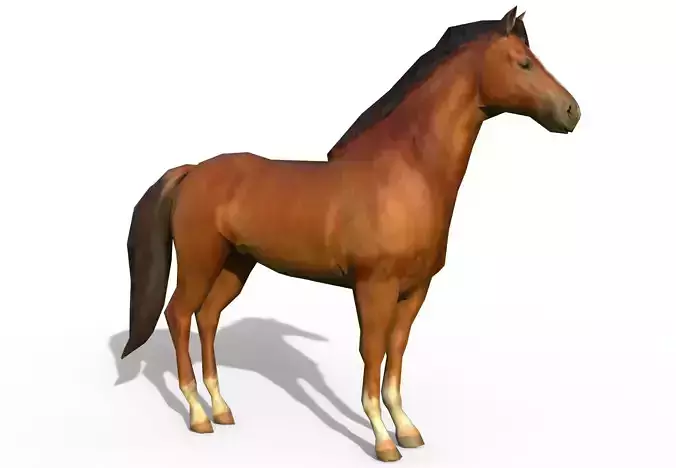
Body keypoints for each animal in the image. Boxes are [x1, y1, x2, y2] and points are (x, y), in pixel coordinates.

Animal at [121, 6, 580, 462]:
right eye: (524, 63)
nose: (571, 112)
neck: (406, 174)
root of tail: (192, 171)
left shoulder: (414, 291)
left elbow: (396, 352)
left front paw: (407, 430)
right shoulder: (374, 288)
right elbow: (372, 352)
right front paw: (382, 441)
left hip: (236, 264)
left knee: (208, 317)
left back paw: (221, 409)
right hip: (200, 263)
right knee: (180, 315)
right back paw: (198, 414)